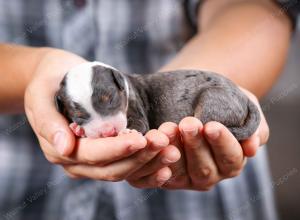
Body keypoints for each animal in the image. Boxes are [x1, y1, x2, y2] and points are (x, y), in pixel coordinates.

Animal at [55, 61, 260, 141]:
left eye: (111, 99)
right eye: (79, 116)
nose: (108, 132)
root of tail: (244, 98)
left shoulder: (136, 108)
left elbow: (139, 124)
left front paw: (128, 131)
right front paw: (77, 129)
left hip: (213, 99)